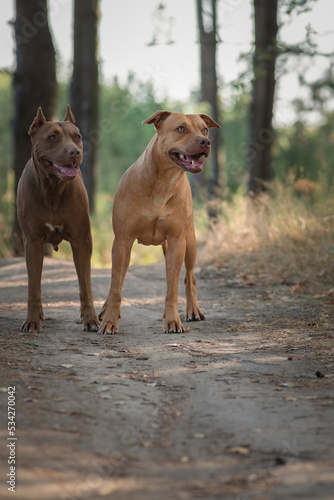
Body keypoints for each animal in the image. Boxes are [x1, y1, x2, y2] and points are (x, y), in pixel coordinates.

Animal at [17, 105, 98, 332]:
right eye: (52, 137)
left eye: (77, 137)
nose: (74, 152)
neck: (52, 189)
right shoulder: (32, 242)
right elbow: (33, 287)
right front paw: (32, 320)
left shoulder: (81, 241)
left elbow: (85, 285)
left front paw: (91, 319)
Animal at [98, 111, 220, 334]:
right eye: (181, 128)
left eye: (205, 129)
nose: (205, 141)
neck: (164, 182)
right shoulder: (122, 241)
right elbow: (115, 285)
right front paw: (110, 320)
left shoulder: (176, 241)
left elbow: (172, 288)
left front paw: (172, 320)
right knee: (118, 279)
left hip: (189, 244)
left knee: (190, 276)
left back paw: (192, 310)